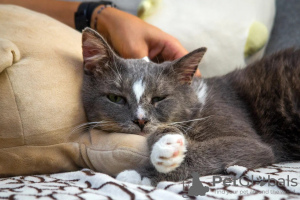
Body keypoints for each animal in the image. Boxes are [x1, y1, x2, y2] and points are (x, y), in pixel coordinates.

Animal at [80, 27, 300, 186]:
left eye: (159, 98)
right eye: (115, 98)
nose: (140, 120)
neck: (198, 103)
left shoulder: (249, 140)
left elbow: (221, 148)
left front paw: (142, 175)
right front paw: (167, 143)